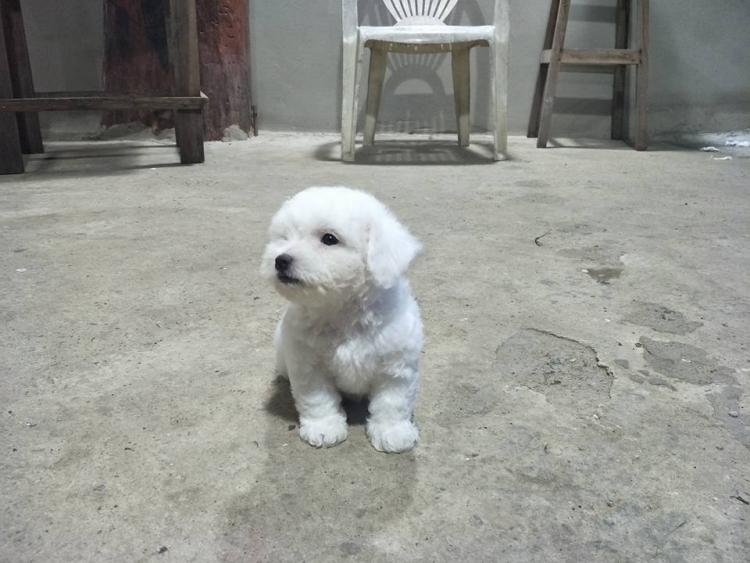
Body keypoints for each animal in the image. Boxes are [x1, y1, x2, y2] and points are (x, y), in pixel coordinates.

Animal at [261, 187, 423, 453]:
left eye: (329, 239)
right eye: (283, 237)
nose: (280, 260)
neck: (343, 311)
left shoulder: (396, 367)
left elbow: (393, 402)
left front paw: (392, 431)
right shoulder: (309, 366)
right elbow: (317, 399)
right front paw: (323, 427)